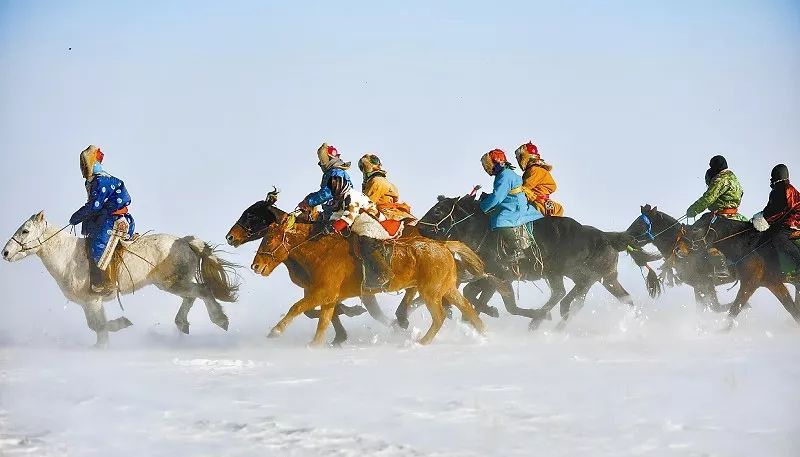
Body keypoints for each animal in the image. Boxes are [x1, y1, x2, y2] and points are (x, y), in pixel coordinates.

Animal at [1, 210, 239, 346]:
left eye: (25, 231)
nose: (5, 253)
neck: (68, 257)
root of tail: (183, 240)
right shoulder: (90, 304)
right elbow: (96, 326)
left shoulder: (92, 301)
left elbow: (98, 326)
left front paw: (113, 334)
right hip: (174, 283)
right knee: (192, 296)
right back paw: (183, 324)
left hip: (173, 282)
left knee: (202, 291)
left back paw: (220, 320)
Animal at [250, 200, 488, 346]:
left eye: (269, 239)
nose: (256, 266)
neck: (320, 250)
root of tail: (444, 246)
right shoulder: (329, 298)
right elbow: (323, 322)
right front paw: (316, 345)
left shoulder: (322, 293)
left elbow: (297, 308)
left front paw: (275, 331)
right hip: (446, 289)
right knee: (468, 308)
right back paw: (484, 333)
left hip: (431, 292)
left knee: (439, 317)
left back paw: (420, 341)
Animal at [416, 194, 660, 330]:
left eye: (438, 210)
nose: (419, 226)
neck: (482, 231)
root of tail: (608, 237)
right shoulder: (489, 277)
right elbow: (473, 294)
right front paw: (481, 315)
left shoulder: (501, 276)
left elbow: (506, 304)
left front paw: (494, 312)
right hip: (604, 278)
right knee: (622, 298)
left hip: (575, 275)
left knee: (568, 297)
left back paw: (546, 320)